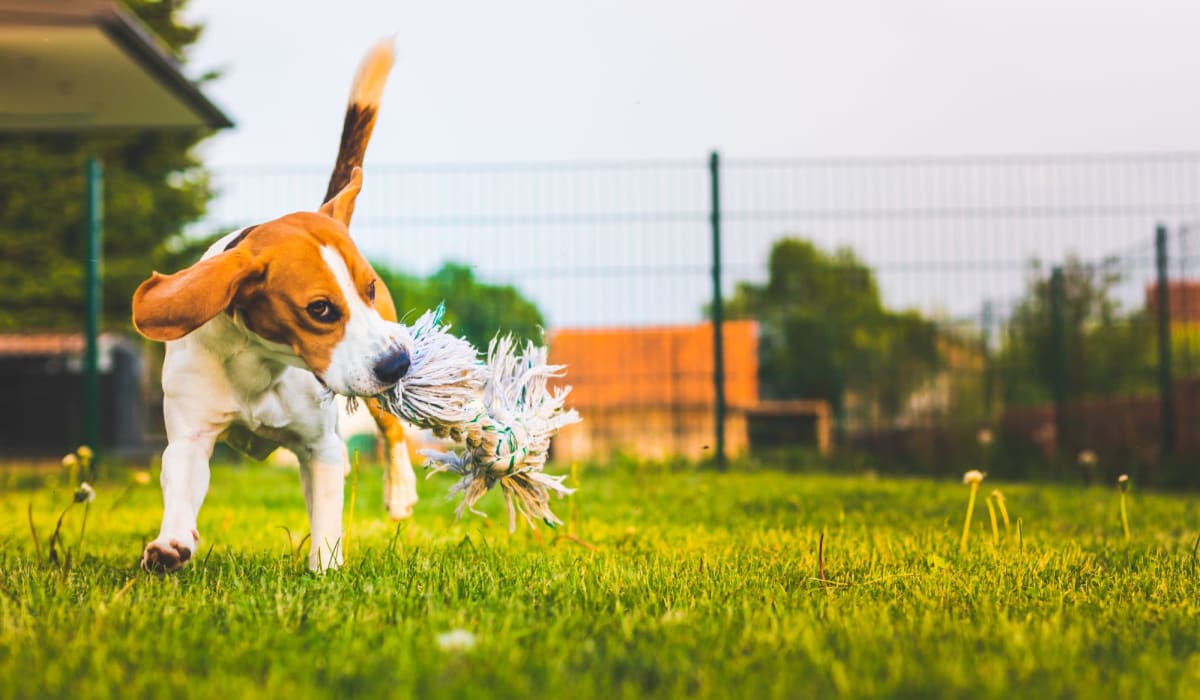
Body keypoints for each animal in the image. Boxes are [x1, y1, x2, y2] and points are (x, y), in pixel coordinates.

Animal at [130, 41, 412, 571]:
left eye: (367, 288)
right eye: (319, 309)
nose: (397, 364)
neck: (259, 364)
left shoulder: (321, 447)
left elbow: (327, 516)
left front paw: (326, 570)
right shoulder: (190, 438)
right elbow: (180, 485)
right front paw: (171, 544)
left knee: (392, 428)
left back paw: (401, 490)